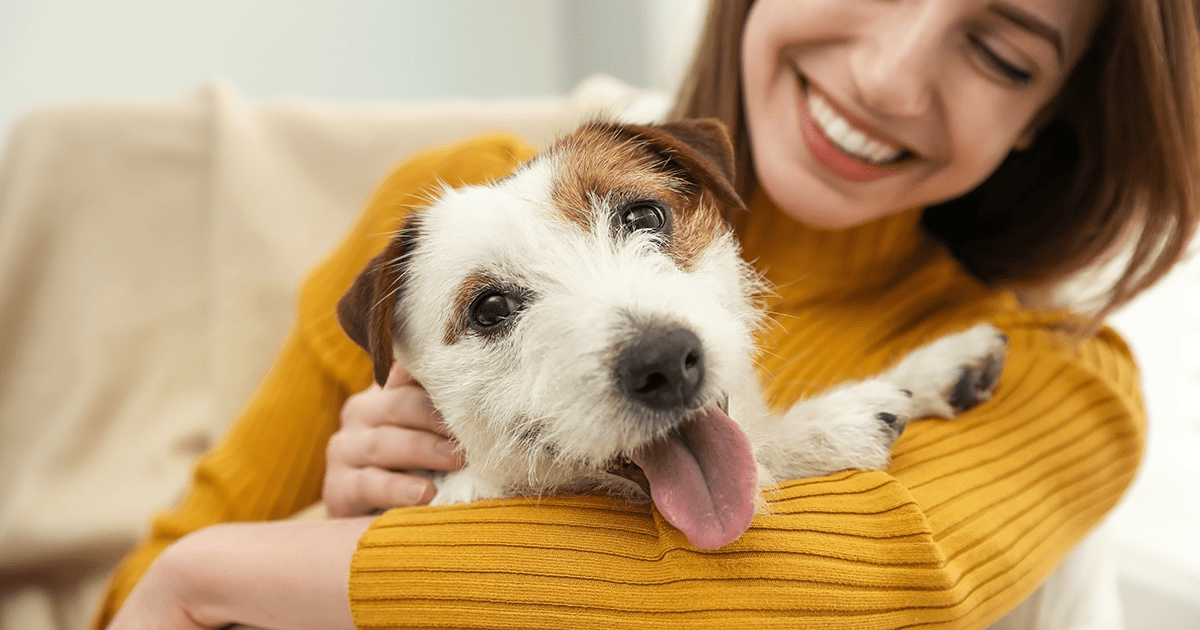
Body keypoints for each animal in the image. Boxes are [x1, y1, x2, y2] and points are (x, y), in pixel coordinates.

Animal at [338, 119, 1003, 549]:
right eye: (491, 308)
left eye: (643, 215)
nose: (662, 360)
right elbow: (764, 450)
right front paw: (832, 423)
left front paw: (942, 365)